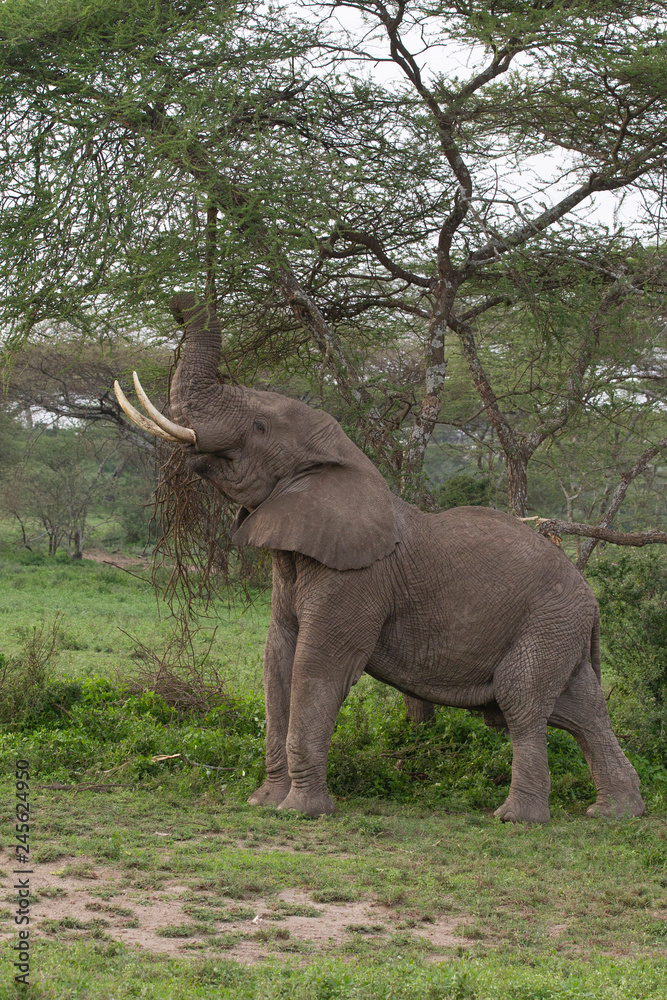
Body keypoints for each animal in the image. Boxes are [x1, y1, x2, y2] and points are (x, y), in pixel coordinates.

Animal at [114, 294, 645, 824]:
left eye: (259, 427)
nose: (179, 301)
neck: (343, 460)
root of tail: (591, 599)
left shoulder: (359, 578)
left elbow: (317, 664)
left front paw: (301, 812)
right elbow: (277, 656)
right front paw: (264, 802)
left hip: (547, 622)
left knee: (525, 701)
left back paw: (516, 818)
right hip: (559, 629)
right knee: (580, 708)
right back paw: (615, 813)